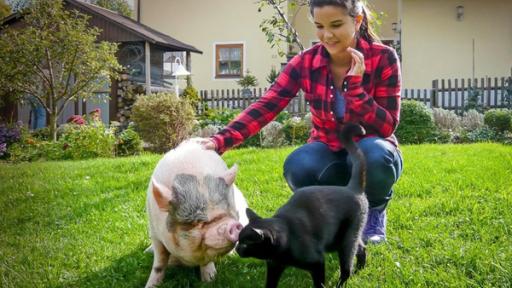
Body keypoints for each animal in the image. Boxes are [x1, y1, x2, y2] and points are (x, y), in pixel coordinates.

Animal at [236, 124, 368, 288]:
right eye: (238, 240)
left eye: (245, 244)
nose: (237, 248)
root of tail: (352, 188)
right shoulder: (274, 266)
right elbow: (270, 283)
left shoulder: (317, 262)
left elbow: (319, 283)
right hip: (339, 239)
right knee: (361, 247)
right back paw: (360, 269)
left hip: (345, 240)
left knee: (347, 266)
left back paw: (343, 282)